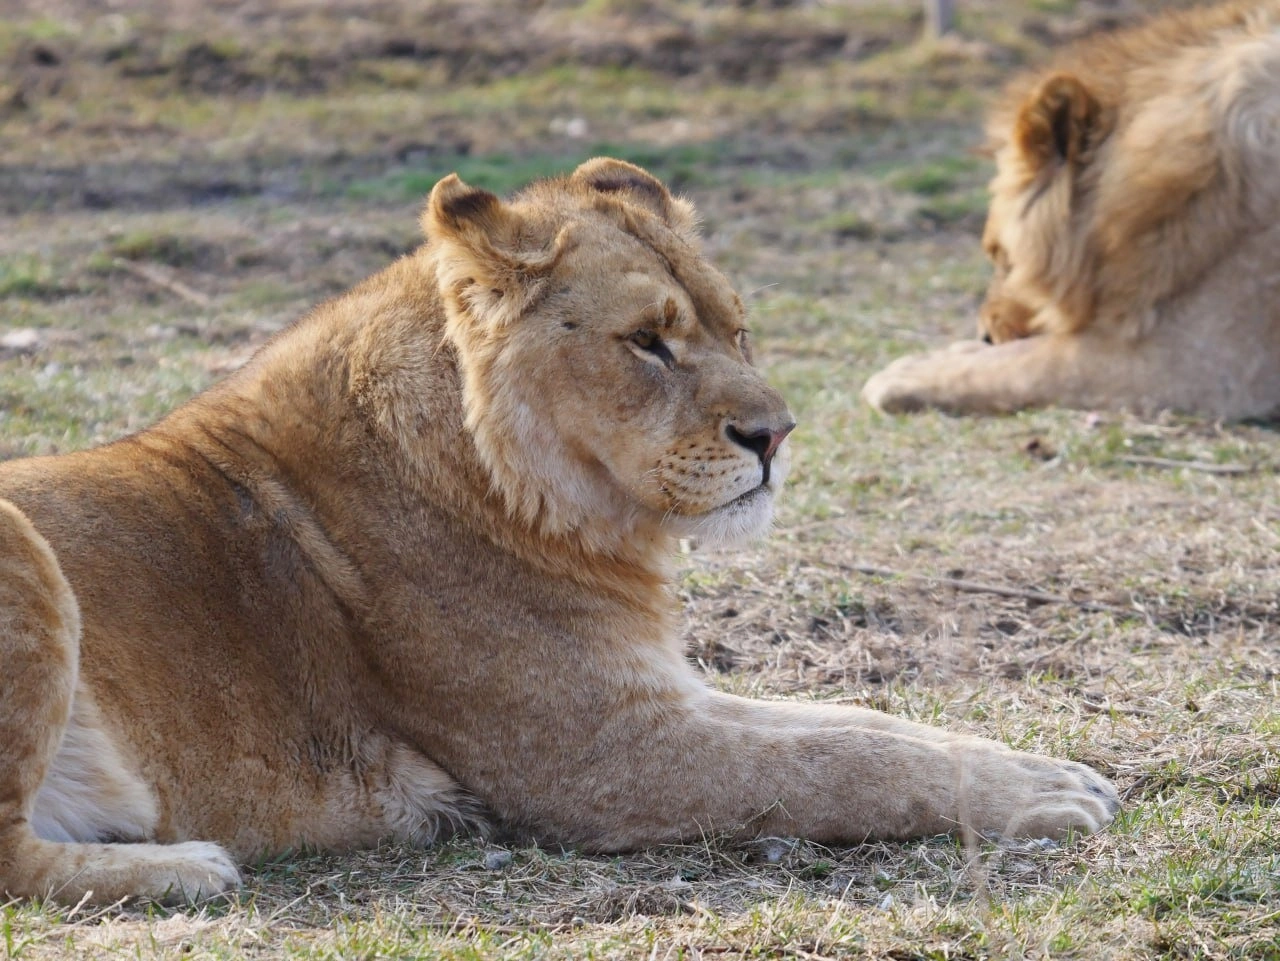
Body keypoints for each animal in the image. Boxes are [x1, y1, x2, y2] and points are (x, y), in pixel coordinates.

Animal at [0, 158, 1117, 906]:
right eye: (647, 341)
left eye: (737, 327)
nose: (777, 434)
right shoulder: (602, 758)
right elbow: (839, 768)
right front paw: (1036, 795)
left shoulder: (658, 694)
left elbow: (860, 724)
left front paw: (1040, 765)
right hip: (28, 560)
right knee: (16, 861)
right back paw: (187, 866)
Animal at [862, 1, 1280, 419]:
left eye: (1002, 257)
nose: (985, 335)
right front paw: (952, 350)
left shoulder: (1203, 362)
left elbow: (1032, 364)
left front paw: (906, 373)